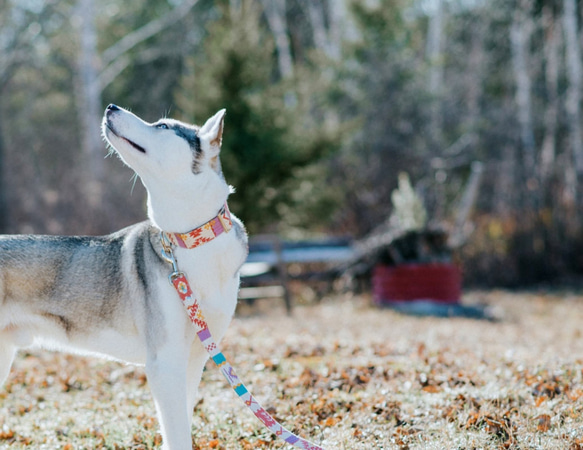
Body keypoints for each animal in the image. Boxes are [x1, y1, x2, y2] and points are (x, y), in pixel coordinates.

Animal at [0, 103, 248, 448]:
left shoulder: (194, 359)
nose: (110, 106)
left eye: (163, 126)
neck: (191, 239)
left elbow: (182, 425)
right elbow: (177, 433)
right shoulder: (164, 362)